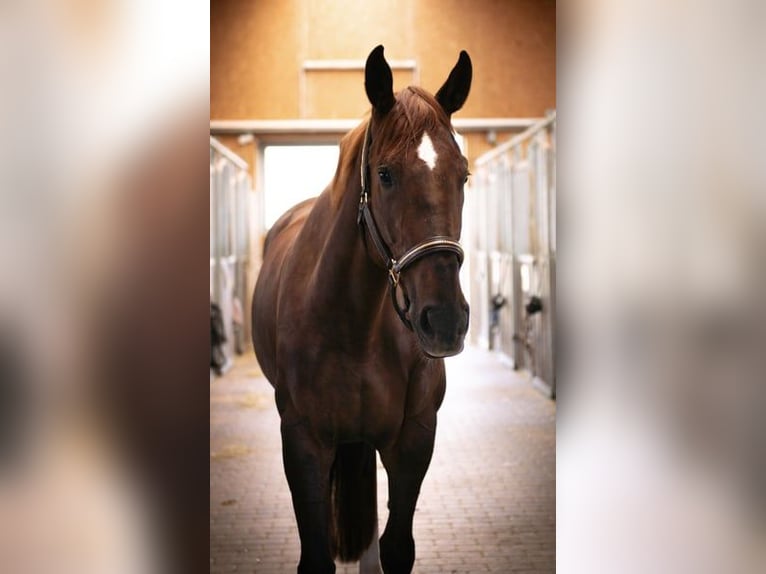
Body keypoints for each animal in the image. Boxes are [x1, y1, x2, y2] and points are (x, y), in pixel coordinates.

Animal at [252, 45, 472, 574]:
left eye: (463, 174)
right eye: (385, 174)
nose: (444, 321)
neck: (356, 326)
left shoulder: (414, 437)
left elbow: (396, 548)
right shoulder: (304, 442)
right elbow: (316, 557)